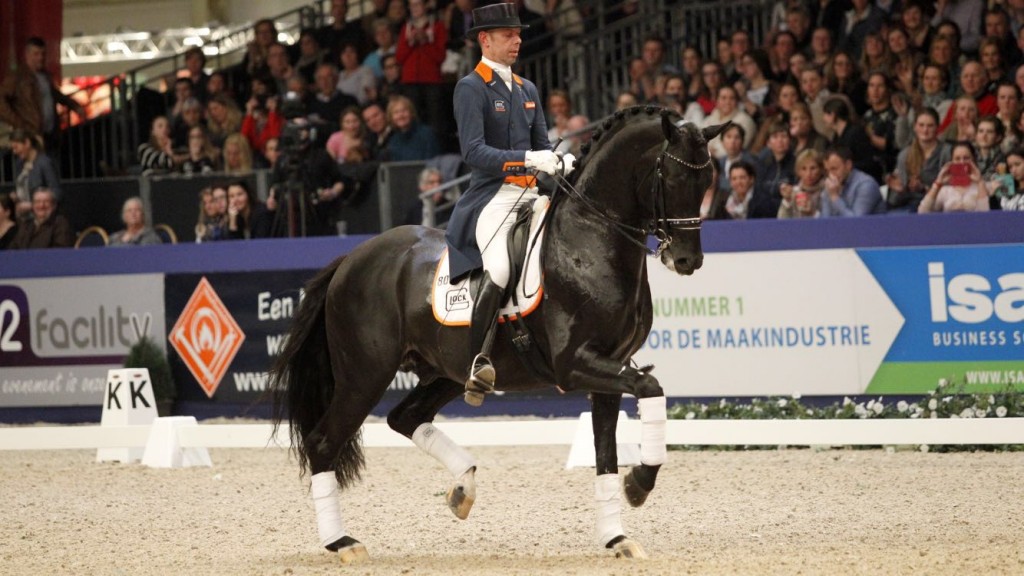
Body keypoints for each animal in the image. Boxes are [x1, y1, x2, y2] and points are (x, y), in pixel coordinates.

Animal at [268, 106, 724, 561]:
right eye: (673, 178)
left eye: (707, 181)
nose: (688, 261)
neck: (590, 240)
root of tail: (351, 258)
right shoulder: (573, 364)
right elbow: (650, 388)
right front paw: (639, 484)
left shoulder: (610, 368)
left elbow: (607, 453)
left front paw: (617, 535)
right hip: (364, 375)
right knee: (323, 442)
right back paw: (342, 542)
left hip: (445, 372)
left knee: (405, 417)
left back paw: (462, 488)